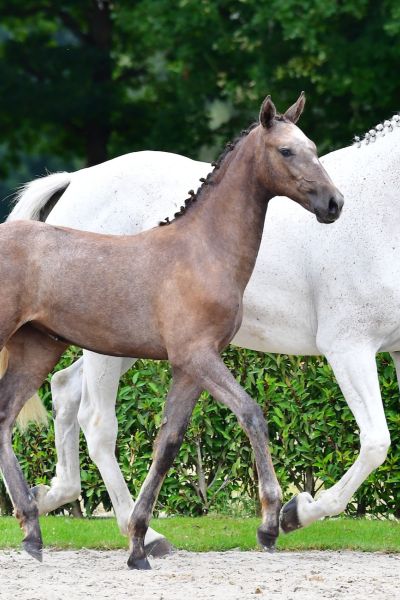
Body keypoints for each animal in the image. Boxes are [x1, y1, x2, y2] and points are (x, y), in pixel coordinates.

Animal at [7, 112, 400, 548]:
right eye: (286, 151)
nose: (333, 205)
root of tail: (76, 181)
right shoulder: (348, 347)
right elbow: (376, 443)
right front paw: (293, 513)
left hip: (113, 342)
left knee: (64, 389)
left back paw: (52, 497)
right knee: (96, 422)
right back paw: (138, 530)